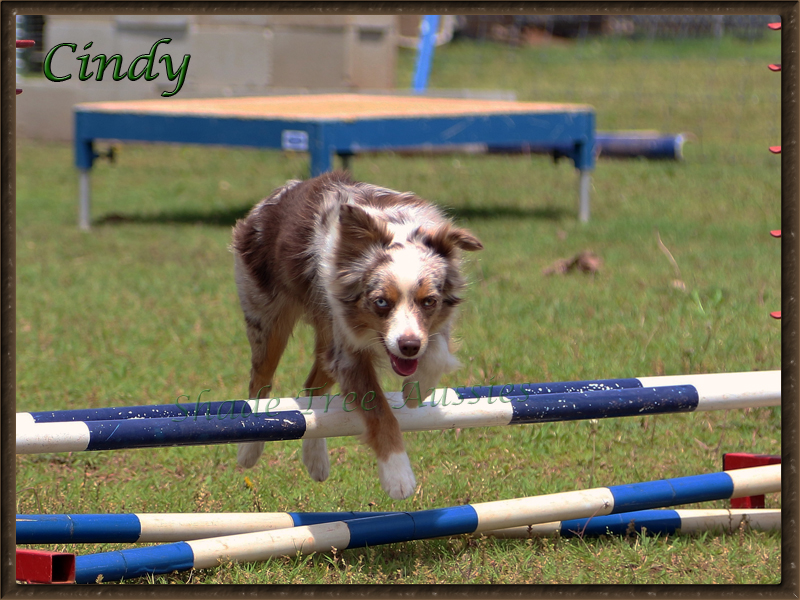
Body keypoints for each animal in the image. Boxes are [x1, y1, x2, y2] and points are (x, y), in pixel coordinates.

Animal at [231, 171, 482, 500]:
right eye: (381, 302)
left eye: (429, 301)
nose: (409, 347)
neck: (398, 227)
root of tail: (276, 196)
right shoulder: (349, 353)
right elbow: (379, 412)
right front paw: (397, 474)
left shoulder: (429, 330)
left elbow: (437, 355)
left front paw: (415, 392)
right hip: (268, 320)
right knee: (259, 383)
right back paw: (250, 449)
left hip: (326, 338)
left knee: (312, 393)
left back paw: (316, 460)